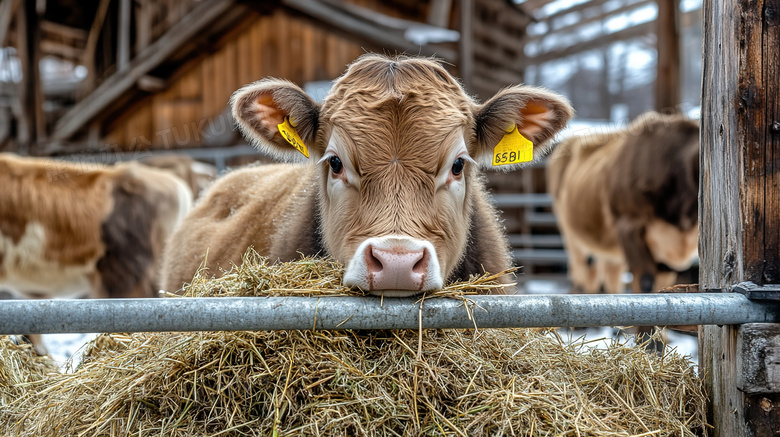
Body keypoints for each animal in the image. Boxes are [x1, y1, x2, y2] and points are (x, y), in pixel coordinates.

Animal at [544, 110, 696, 292]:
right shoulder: (629, 227)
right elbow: (645, 281)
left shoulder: (665, 255)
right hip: (571, 236)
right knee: (583, 276)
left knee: (607, 275)